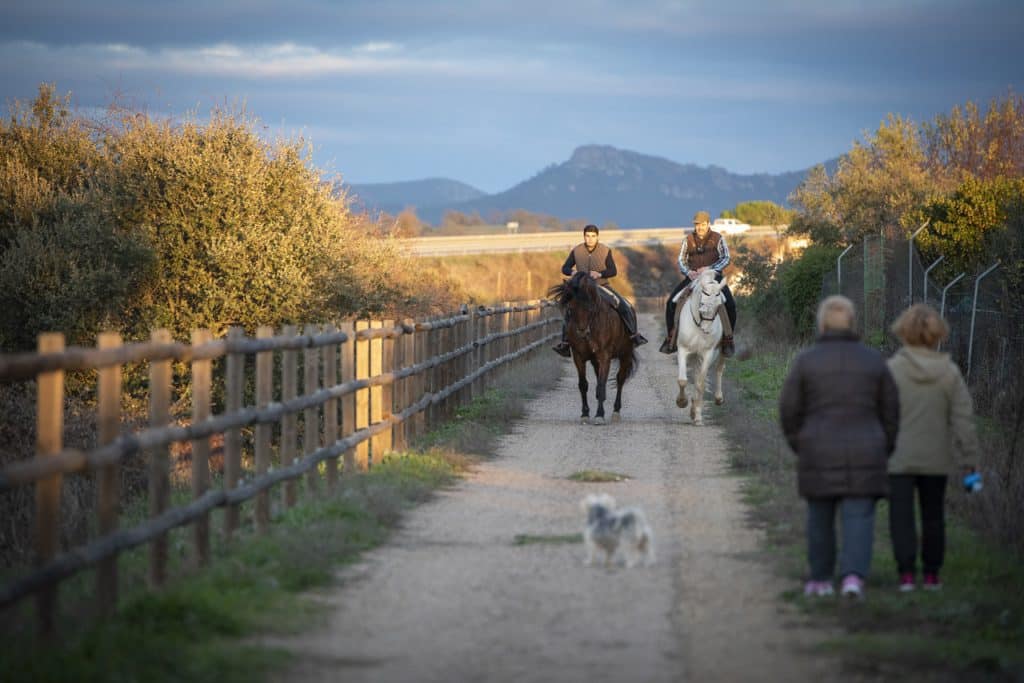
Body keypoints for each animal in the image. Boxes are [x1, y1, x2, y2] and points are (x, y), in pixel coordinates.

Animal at [548, 270, 634, 421]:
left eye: (590, 307)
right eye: (571, 308)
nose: (582, 331)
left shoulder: (605, 356)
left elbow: (601, 383)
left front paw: (599, 415)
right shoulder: (578, 356)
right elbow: (583, 385)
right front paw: (585, 413)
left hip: (626, 354)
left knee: (620, 379)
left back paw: (616, 411)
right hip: (595, 360)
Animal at [671, 270, 729, 423]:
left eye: (719, 306)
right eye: (702, 303)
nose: (706, 330)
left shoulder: (708, 353)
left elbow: (700, 383)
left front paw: (697, 414)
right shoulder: (683, 349)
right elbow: (683, 380)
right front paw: (682, 402)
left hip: (719, 352)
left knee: (719, 369)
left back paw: (718, 398)